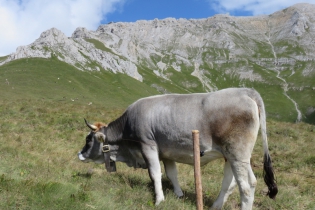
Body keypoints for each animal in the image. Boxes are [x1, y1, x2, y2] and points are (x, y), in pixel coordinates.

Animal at [78, 88, 278, 209]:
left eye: (88, 139)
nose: (80, 154)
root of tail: (245, 91)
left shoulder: (148, 145)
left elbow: (155, 174)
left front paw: (159, 200)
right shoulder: (166, 153)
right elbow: (171, 173)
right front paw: (179, 194)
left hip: (237, 153)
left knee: (246, 186)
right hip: (233, 156)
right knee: (233, 183)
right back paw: (215, 205)